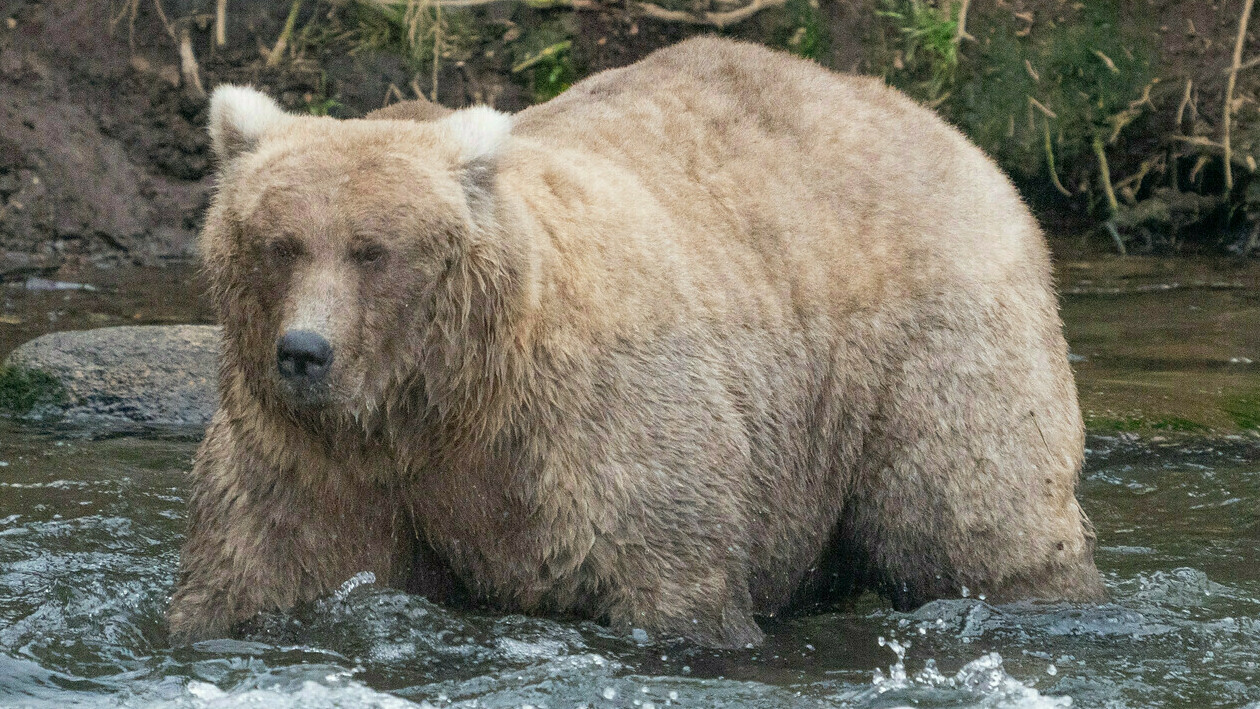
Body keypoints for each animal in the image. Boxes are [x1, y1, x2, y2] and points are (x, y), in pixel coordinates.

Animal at [167, 37, 1103, 649]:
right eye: (279, 243)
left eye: (373, 249)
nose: (304, 351)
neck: (441, 400)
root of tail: (944, 128)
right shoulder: (310, 457)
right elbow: (258, 567)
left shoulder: (588, 429)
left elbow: (667, 574)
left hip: (929, 341)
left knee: (971, 514)